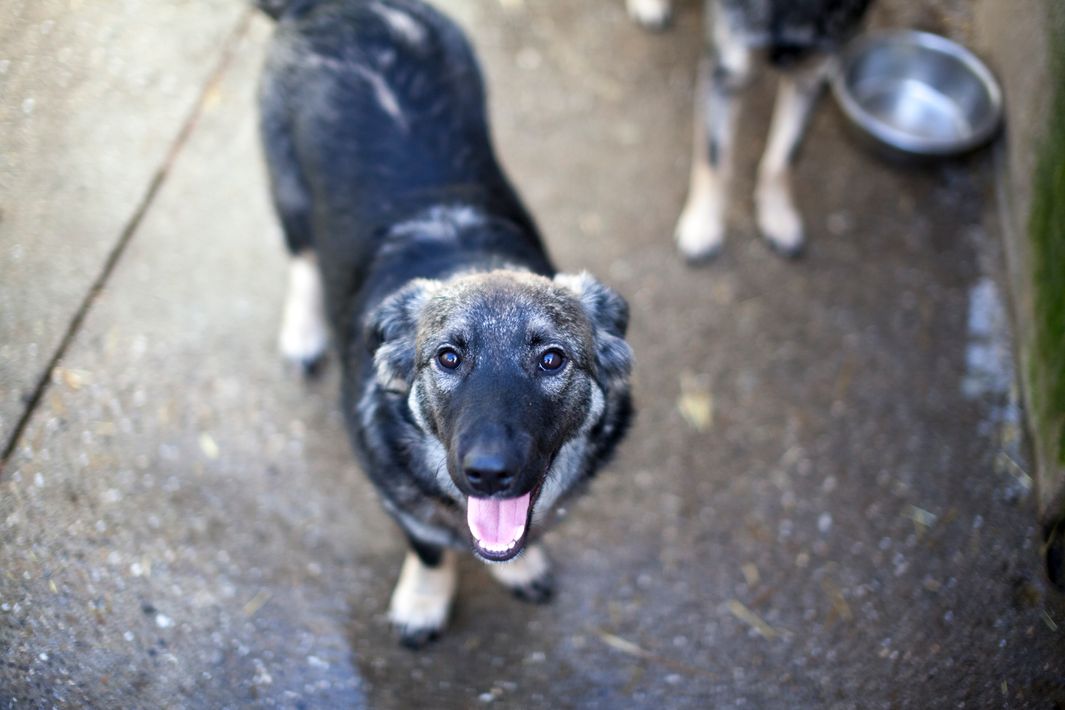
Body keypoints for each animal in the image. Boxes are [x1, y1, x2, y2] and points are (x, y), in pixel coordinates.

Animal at [255, 0, 634, 647]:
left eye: (552, 358)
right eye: (448, 358)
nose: (488, 474)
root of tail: (333, 6)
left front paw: (521, 566)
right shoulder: (400, 503)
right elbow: (430, 550)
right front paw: (424, 600)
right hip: (288, 188)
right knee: (302, 255)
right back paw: (304, 331)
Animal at [628, 0, 873, 258]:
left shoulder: (812, 76)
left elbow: (783, 157)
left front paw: (778, 216)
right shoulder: (725, 74)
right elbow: (715, 163)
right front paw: (703, 224)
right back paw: (649, 7)